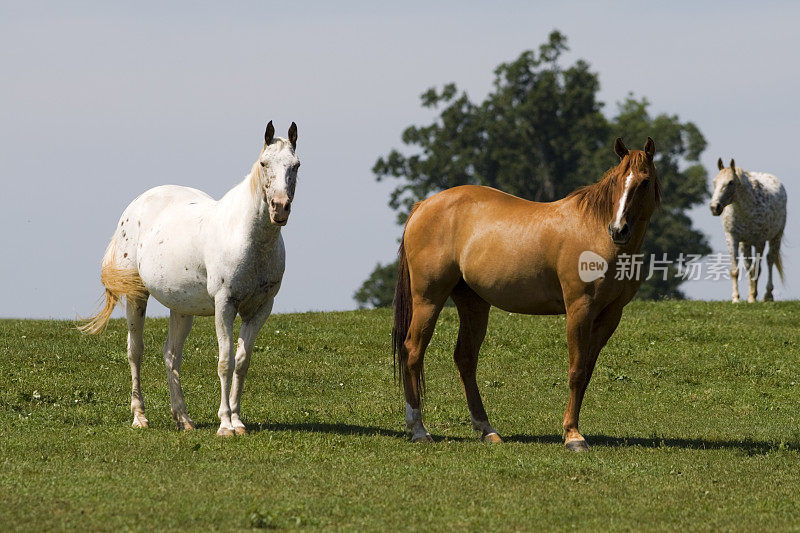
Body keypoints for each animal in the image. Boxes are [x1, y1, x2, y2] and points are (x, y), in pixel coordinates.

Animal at [81, 122, 300, 434]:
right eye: (264, 163)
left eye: (296, 165)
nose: (280, 208)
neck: (247, 236)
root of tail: (136, 204)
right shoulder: (225, 304)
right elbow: (225, 361)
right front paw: (225, 425)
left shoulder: (261, 308)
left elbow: (242, 362)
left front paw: (238, 421)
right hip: (137, 296)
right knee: (135, 352)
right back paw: (140, 417)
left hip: (182, 308)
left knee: (171, 355)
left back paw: (183, 419)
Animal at [394, 136, 664, 448]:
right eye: (618, 179)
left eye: (644, 181)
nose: (618, 230)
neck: (596, 234)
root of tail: (423, 205)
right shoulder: (579, 309)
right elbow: (576, 370)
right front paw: (572, 435)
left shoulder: (610, 316)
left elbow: (586, 372)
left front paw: (572, 429)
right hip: (428, 299)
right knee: (413, 351)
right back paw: (418, 429)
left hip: (473, 302)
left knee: (465, 359)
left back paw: (487, 429)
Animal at [708, 156, 784, 302]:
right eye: (714, 181)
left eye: (731, 182)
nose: (715, 207)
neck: (745, 210)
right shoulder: (732, 239)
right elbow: (735, 270)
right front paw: (736, 299)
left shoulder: (760, 242)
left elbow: (757, 269)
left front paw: (753, 297)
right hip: (746, 243)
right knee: (749, 265)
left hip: (775, 237)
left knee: (770, 260)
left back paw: (768, 295)